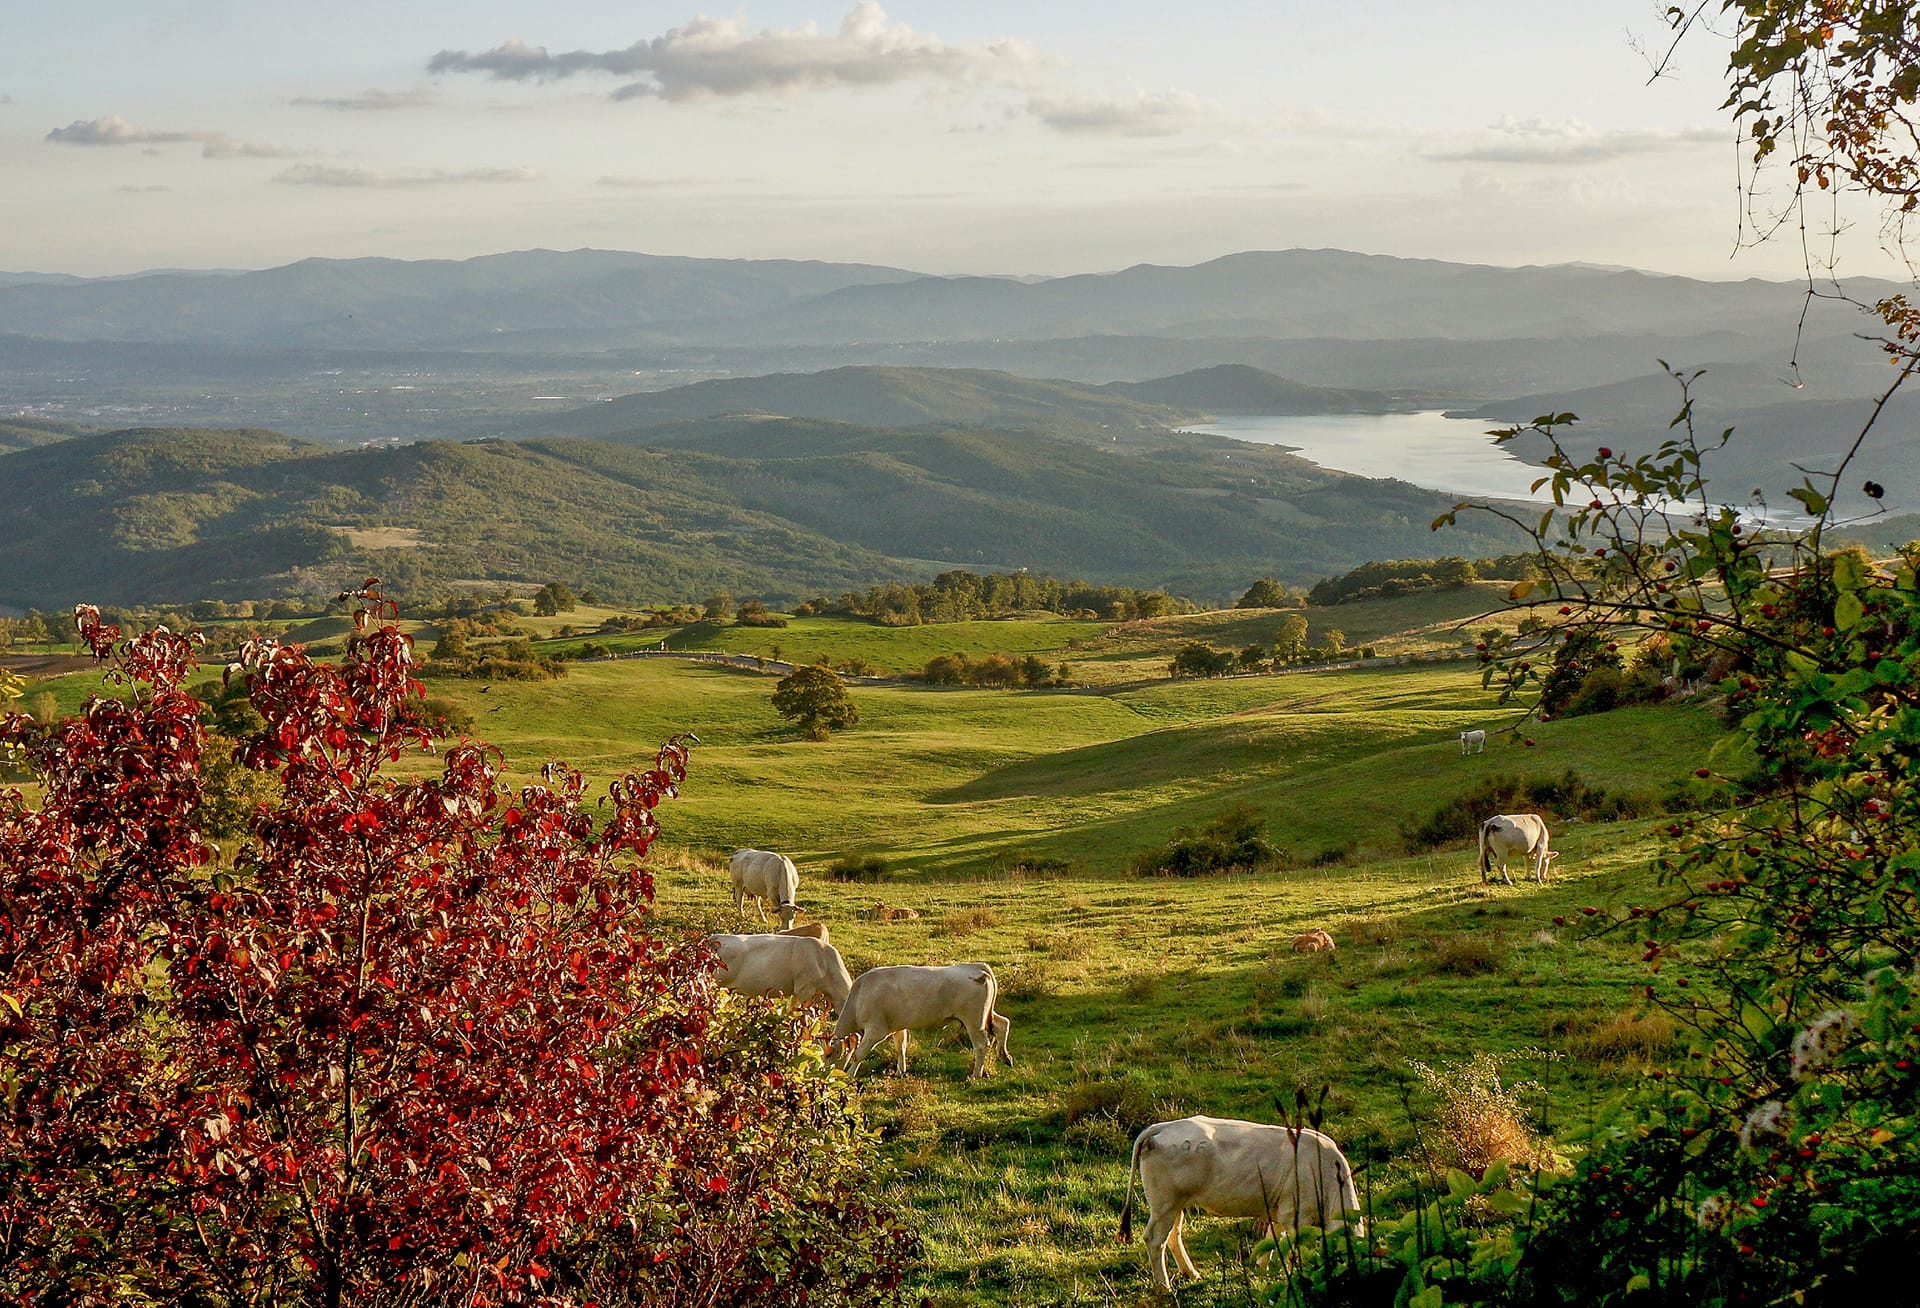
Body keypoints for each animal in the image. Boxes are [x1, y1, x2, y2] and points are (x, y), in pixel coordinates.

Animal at [1113, 1114, 1367, 1283]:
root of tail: (1164, 1126)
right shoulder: (1297, 1214)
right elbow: (1295, 1248)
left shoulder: (1278, 1210)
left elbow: (1272, 1239)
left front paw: (1262, 1269)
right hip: (1165, 1204)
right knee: (1155, 1240)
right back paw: (1164, 1286)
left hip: (1176, 1204)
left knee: (1173, 1236)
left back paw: (1191, 1273)